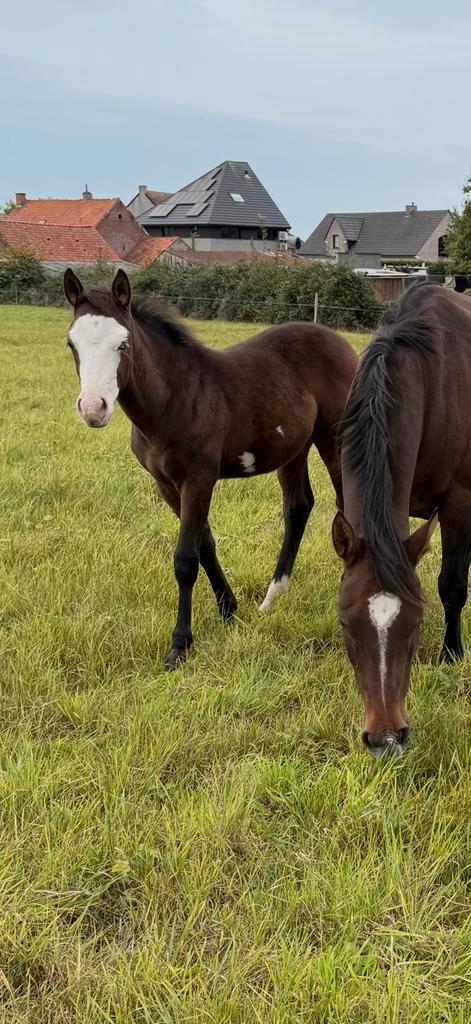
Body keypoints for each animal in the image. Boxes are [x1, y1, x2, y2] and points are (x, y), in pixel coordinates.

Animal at [64, 268, 358, 669]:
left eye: (123, 344)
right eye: (71, 344)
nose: (94, 408)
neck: (174, 398)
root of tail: (340, 342)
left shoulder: (198, 479)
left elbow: (186, 558)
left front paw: (180, 645)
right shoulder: (167, 485)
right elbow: (205, 545)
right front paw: (229, 609)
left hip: (334, 438)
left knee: (347, 504)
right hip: (294, 447)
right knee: (298, 507)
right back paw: (272, 598)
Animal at [332, 282, 471, 756]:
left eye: (416, 624)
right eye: (345, 623)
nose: (386, 738)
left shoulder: (459, 504)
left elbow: (452, 585)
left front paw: (452, 653)